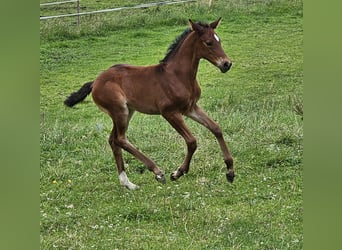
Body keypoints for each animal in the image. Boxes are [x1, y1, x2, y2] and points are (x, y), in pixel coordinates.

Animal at [64, 18, 235, 189]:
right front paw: (177, 173)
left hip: (127, 112)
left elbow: (216, 128)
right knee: (120, 139)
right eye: (208, 43)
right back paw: (157, 172)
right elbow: (192, 141)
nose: (227, 64)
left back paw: (127, 183)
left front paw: (230, 171)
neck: (178, 76)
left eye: (219, 40)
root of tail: (95, 82)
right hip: (119, 110)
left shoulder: (190, 108)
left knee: (113, 140)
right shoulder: (170, 112)